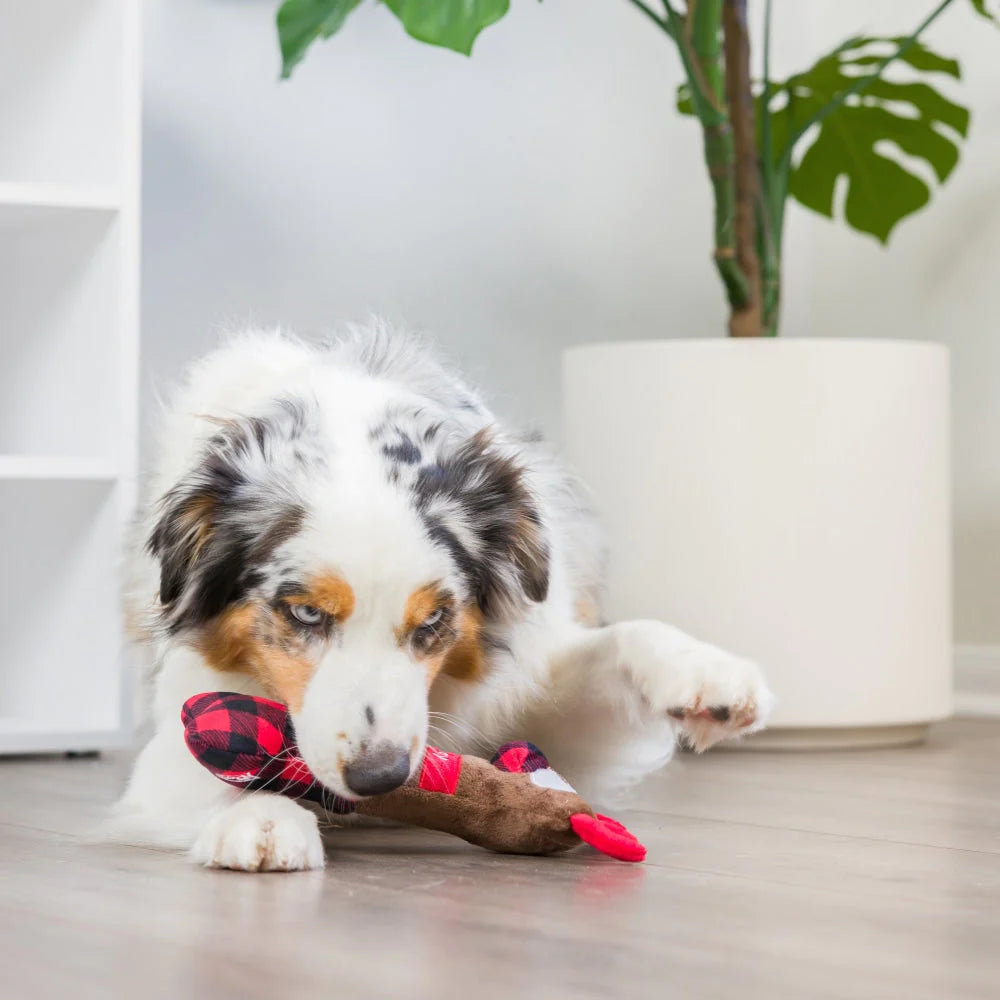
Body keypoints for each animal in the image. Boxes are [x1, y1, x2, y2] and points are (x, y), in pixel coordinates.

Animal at [117, 320, 772, 868]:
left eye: (434, 618)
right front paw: (260, 819)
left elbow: (617, 642)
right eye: (305, 612)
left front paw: (710, 677)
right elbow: (206, 760)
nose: (380, 777)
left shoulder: (529, 686)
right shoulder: (186, 710)